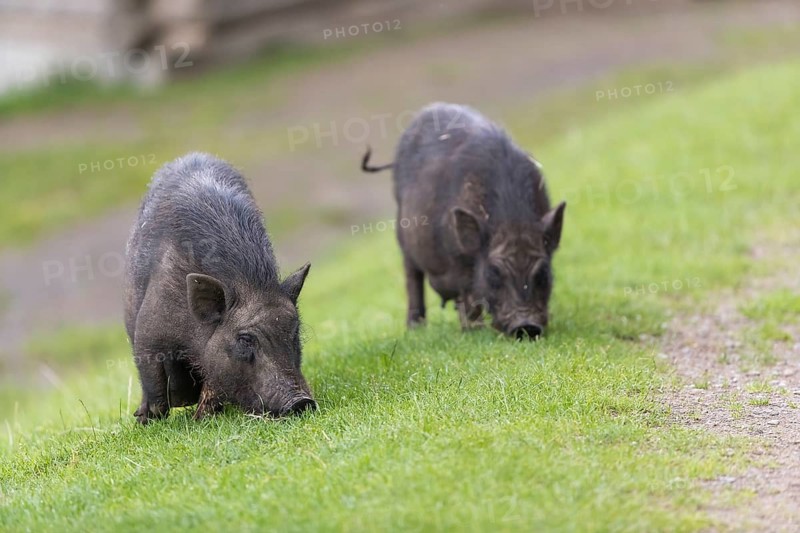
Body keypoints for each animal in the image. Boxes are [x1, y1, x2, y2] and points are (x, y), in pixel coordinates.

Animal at [124, 152, 315, 424]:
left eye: (294, 331)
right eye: (245, 339)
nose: (303, 402)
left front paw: (204, 416)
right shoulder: (148, 329)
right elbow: (154, 382)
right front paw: (145, 421)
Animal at [362, 102, 566, 339]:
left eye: (544, 272)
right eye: (493, 273)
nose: (526, 326)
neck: (511, 222)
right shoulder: (458, 263)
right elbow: (469, 298)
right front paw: (474, 332)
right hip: (403, 241)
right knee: (412, 278)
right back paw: (416, 329)